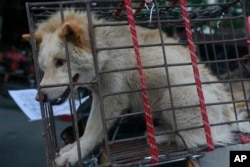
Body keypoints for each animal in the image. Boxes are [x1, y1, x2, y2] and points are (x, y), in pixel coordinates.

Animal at [22, 9, 249, 166]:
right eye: (43, 68)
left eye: (61, 62)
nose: (39, 97)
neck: (105, 52)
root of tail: (231, 116)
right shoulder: (99, 94)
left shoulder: (111, 98)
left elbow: (92, 131)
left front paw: (74, 154)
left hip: (175, 95)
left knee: (197, 139)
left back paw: (161, 135)